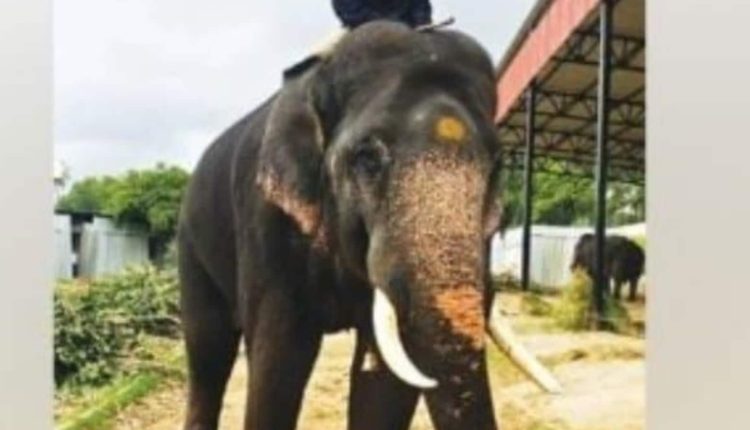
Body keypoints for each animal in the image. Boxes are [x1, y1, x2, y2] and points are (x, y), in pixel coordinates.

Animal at [177, 21, 559, 430]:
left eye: (497, 166)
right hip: (191, 245)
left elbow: (384, 382)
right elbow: (279, 359)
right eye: (367, 158)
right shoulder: (266, 222)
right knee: (207, 351)